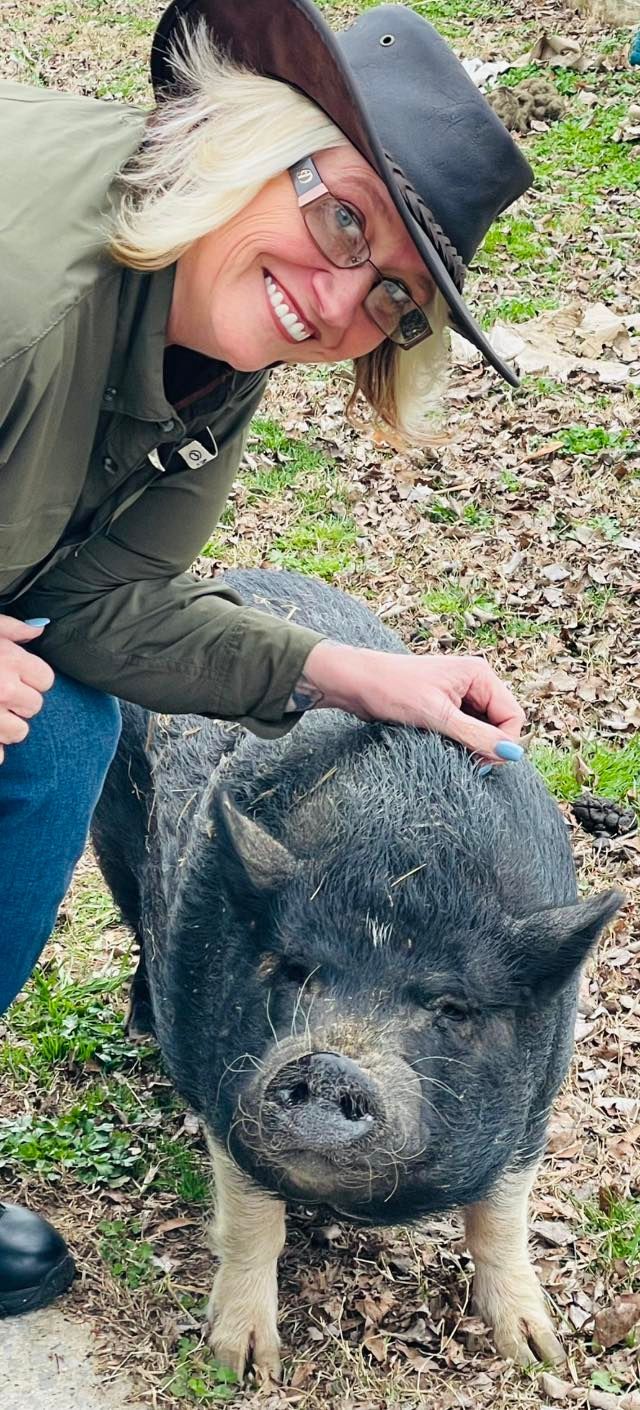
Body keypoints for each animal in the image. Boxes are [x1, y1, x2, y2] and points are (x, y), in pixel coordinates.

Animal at [91, 567, 622, 1383]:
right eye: (292, 967)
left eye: (453, 1007)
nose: (330, 1065)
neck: (403, 866)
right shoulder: (223, 1085)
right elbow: (254, 1220)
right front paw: (241, 1365)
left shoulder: (537, 1098)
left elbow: (500, 1217)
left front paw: (539, 1354)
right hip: (112, 829)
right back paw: (140, 1020)